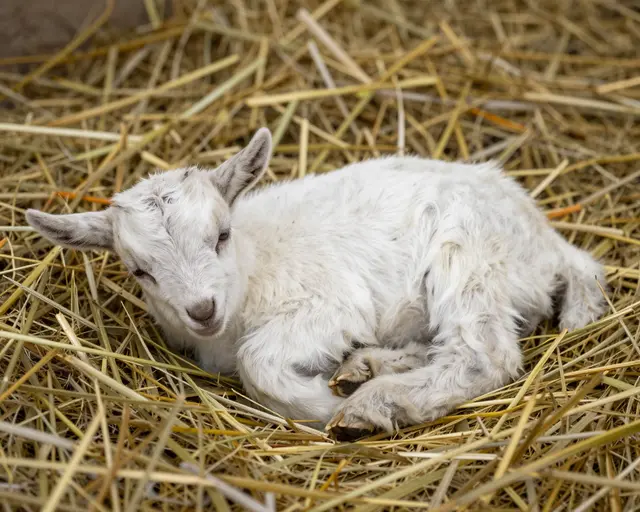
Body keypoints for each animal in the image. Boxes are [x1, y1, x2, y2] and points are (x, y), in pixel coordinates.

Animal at [27, 128, 606, 440]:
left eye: (221, 235)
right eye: (138, 270)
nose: (202, 309)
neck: (253, 268)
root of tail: (545, 242)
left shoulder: (328, 304)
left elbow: (258, 362)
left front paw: (319, 408)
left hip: (467, 257)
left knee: (482, 354)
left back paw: (373, 404)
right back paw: (368, 369)